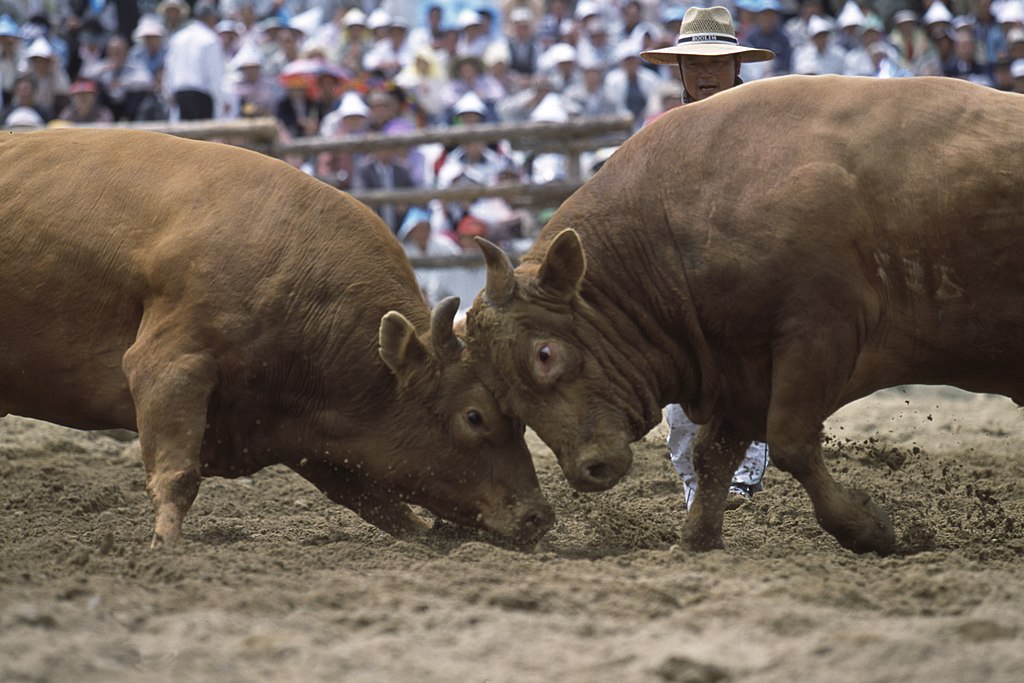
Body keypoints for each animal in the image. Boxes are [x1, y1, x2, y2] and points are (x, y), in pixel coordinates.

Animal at [0, 128, 553, 548]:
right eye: (474, 416)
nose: (539, 517)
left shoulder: (305, 431)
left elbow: (375, 500)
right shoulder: (170, 365)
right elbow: (176, 476)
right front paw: (166, 548)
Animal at [463, 75, 1024, 556]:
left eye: (544, 353)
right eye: (500, 393)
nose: (589, 469)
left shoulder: (817, 333)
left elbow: (791, 443)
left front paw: (867, 528)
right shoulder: (737, 365)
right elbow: (711, 454)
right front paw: (697, 539)